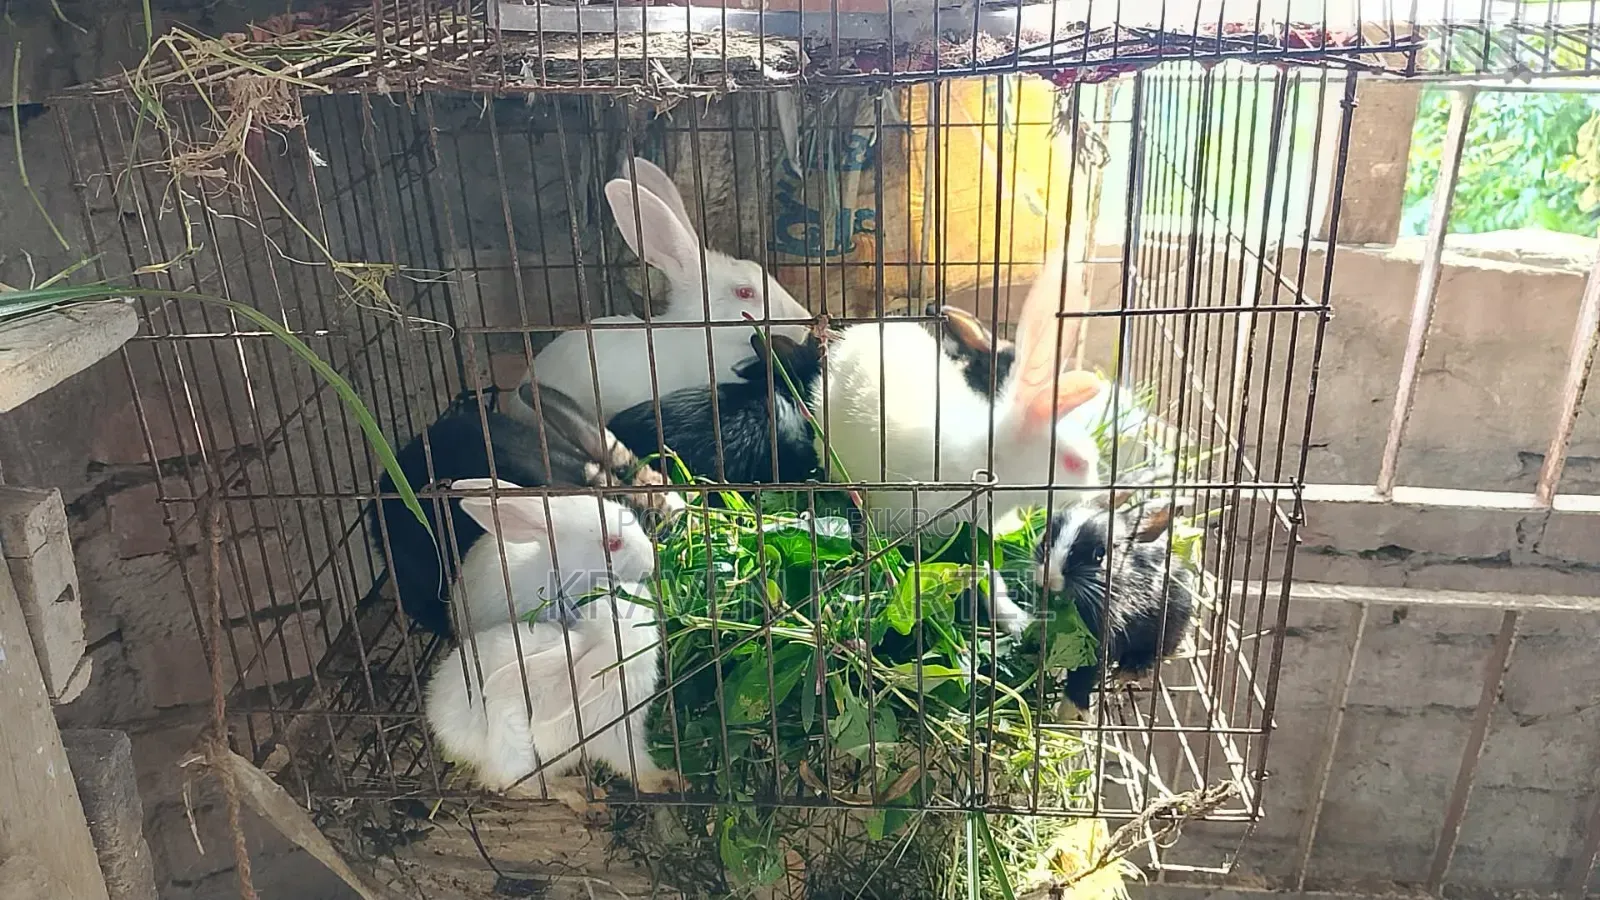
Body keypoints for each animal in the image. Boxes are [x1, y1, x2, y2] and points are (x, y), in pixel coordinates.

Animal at [1033, 494, 1197, 714]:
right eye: (1045, 539)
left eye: (1100, 554)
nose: (1049, 578)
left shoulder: (1100, 639)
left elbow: (1083, 678)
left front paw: (1070, 713)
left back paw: (1131, 670)